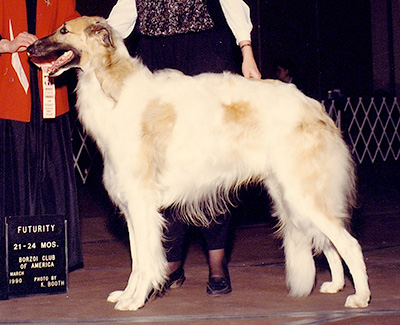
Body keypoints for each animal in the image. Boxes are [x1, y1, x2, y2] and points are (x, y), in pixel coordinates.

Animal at [27, 16, 372, 310]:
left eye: (63, 30)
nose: (29, 49)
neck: (114, 89)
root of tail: (316, 108)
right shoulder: (130, 206)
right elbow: (137, 260)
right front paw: (126, 294)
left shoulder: (141, 202)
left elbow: (146, 261)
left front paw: (135, 300)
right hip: (290, 195)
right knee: (330, 243)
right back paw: (336, 285)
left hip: (301, 193)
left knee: (349, 243)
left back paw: (360, 297)